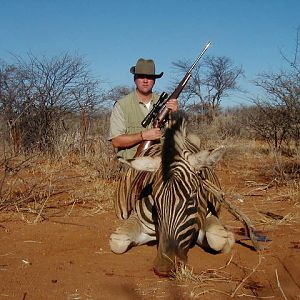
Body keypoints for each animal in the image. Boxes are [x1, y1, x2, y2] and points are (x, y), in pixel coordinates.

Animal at [109, 116, 236, 276]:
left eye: (191, 199)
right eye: (155, 200)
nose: (164, 266)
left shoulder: (209, 215)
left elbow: (217, 239)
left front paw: (229, 239)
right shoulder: (136, 217)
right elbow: (118, 241)